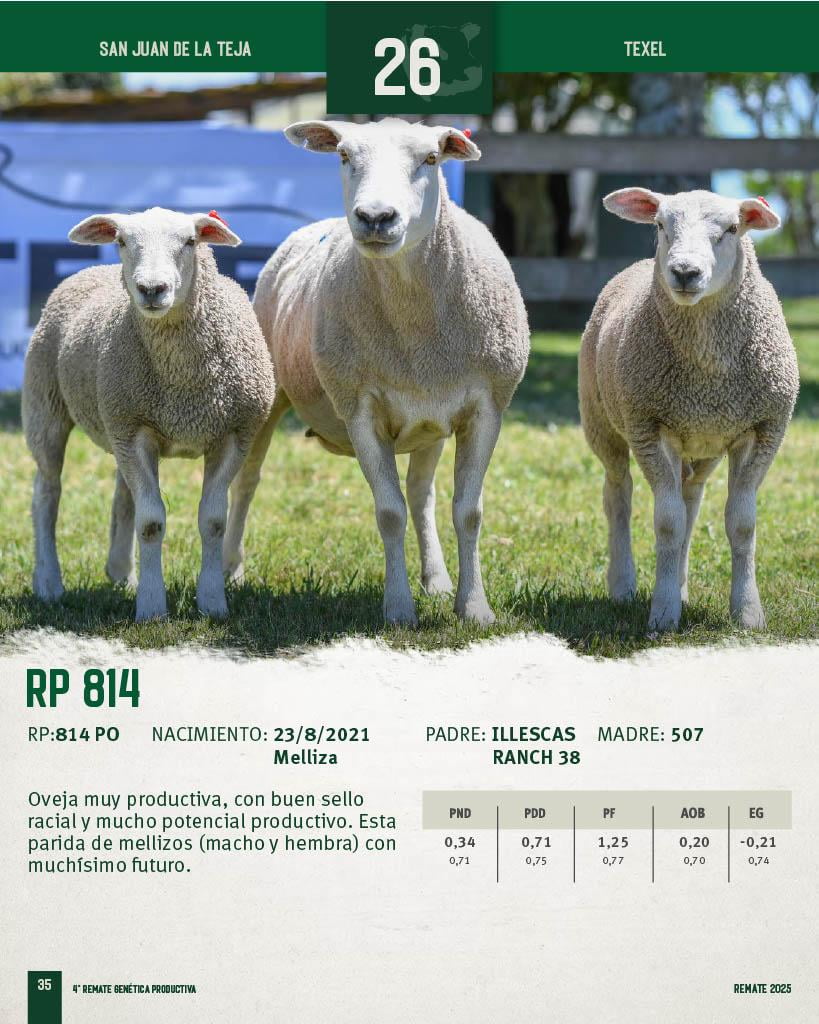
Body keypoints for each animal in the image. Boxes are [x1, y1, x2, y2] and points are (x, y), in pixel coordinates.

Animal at [22, 207, 275, 621]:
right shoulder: (135, 430)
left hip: (118, 422)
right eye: (122, 241)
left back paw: (121, 573)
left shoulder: (232, 434)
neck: (182, 383)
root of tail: (91, 271)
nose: (152, 289)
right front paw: (153, 608)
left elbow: (213, 522)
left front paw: (212, 603)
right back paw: (48, 582)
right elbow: (152, 522)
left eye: (190, 241)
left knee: (122, 494)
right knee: (46, 493)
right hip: (47, 404)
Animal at [223, 118, 530, 627]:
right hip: (268, 393)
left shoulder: (486, 407)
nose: (375, 217)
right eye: (345, 156)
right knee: (246, 482)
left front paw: (474, 608)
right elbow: (389, 512)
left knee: (422, 493)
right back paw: (231, 571)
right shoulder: (360, 410)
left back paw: (437, 579)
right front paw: (399, 609)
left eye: (431, 158)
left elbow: (467, 511)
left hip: (431, 424)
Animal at [579, 188, 799, 632]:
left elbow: (740, 523)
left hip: (701, 447)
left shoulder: (763, 430)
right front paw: (663, 614)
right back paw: (623, 586)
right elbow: (667, 522)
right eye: (661, 224)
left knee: (690, 502)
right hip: (602, 423)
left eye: (732, 228)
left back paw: (679, 585)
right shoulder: (648, 427)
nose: (683, 272)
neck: (708, 373)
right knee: (618, 496)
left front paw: (747, 613)